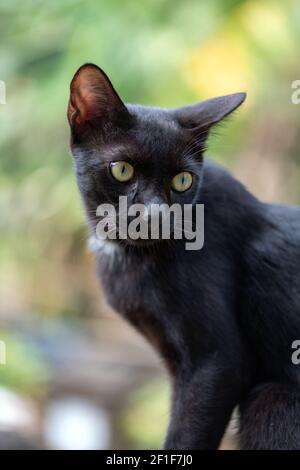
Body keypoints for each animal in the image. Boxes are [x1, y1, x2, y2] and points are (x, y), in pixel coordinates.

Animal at [67, 64, 300, 450]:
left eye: (182, 180)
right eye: (122, 170)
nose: (155, 215)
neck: (130, 258)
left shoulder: (215, 365)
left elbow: (185, 436)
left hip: (273, 400)